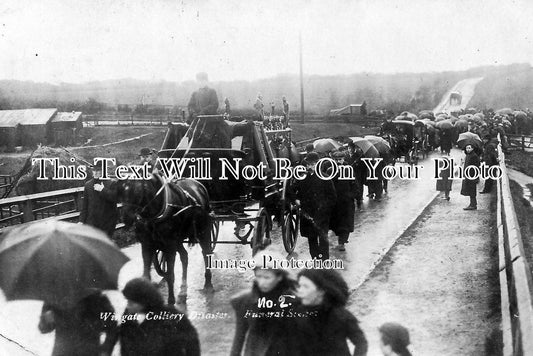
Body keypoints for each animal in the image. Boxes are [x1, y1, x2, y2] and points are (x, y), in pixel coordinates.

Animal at [118, 174, 212, 304]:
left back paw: (208, 283)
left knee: (206, 253)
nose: (125, 217)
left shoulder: (169, 245)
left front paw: (171, 300)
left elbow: (170, 274)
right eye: (121, 190)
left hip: (203, 232)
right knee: (184, 256)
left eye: (136, 190)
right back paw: (183, 287)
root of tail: (200, 186)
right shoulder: (147, 245)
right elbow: (146, 274)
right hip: (178, 240)